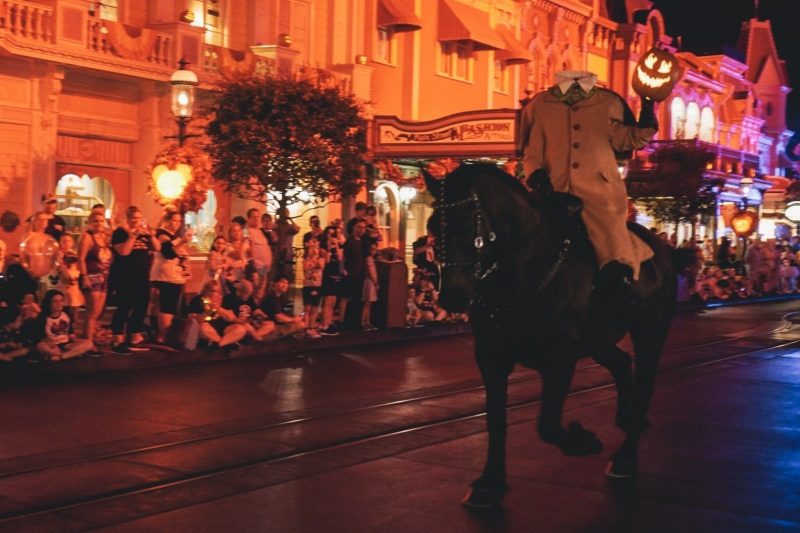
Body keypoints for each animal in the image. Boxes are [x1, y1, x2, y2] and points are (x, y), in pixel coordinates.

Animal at [424, 162, 688, 508]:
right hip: (598, 339)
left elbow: (547, 424)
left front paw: (583, 441)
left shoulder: (560, 360)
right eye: (431, 226)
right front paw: (489, 483)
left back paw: (625, 457)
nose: (452, 296)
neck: (524, 273)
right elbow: (496, 420)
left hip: (651, 331)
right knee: (621, 363)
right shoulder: (491, 358)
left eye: (469, 225)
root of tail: (664, 249)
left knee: (644, 385)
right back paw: (625, 417)